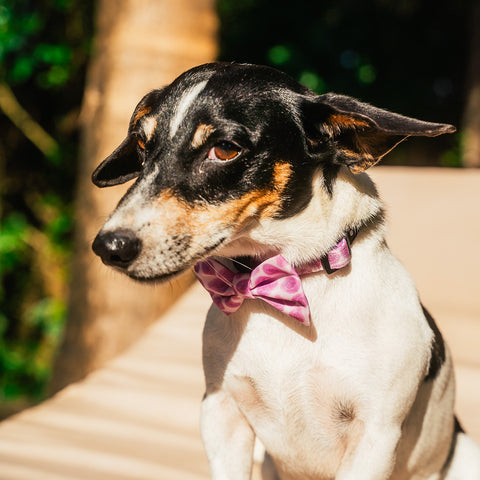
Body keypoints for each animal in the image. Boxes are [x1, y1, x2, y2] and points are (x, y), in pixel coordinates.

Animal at [91, 62, 480, 479]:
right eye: (142, 146)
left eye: (225, 148)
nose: (108, 247)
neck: (291, 278)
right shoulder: (221, 410)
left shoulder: (375, 436)